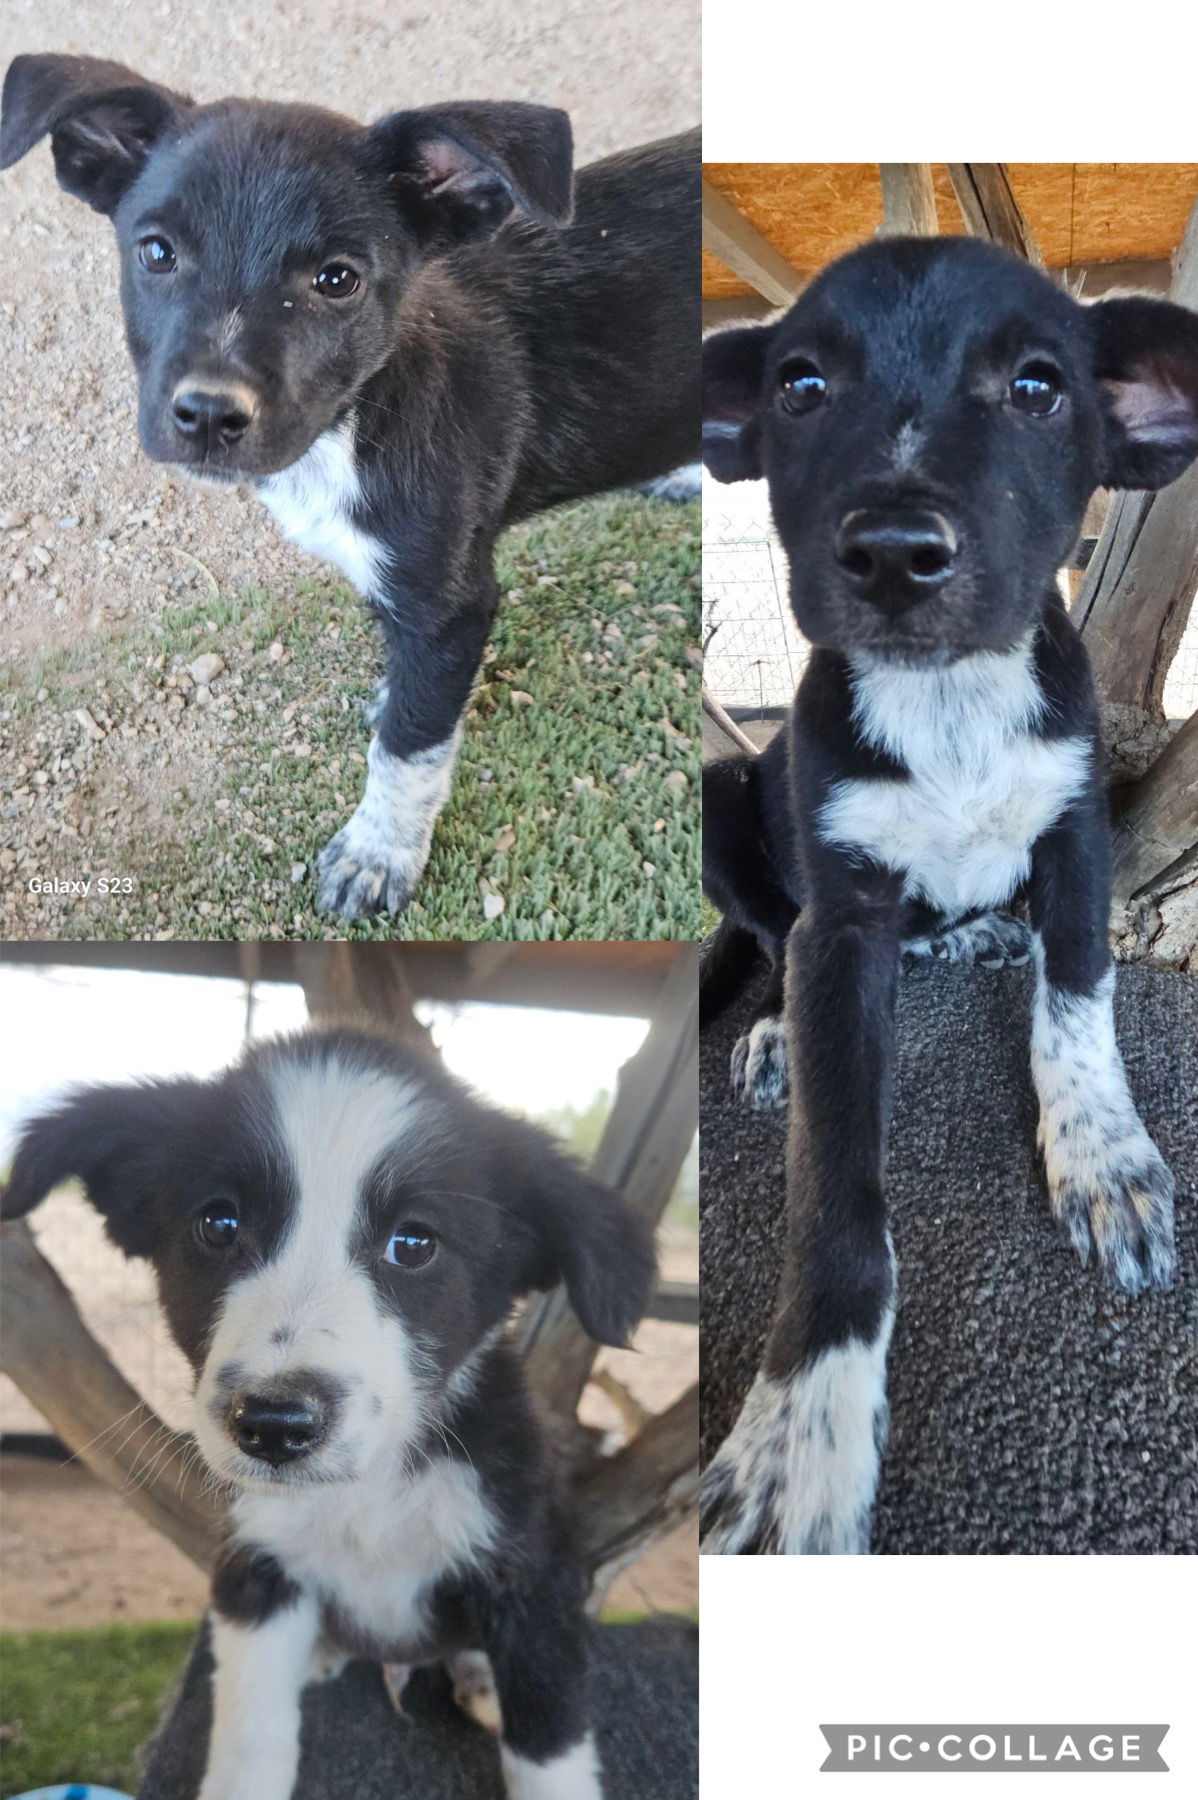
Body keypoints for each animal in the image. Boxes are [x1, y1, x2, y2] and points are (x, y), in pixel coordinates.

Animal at [0, 58, 701, 921]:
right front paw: (391, 699)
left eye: (338, 279)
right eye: (157, 253)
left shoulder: (449, 602)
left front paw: (378, 853)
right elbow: (404, 690)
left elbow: (409, 747)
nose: (208, 415)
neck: (355, 419)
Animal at [2, 1029, 654, 1800]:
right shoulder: (256, 1568)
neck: (370, 1492)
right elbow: (250, 1739)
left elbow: (550, 1742)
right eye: (218, 1223)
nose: (275, 1425)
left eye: (414, 1243)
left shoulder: (531, 1569)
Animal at [694, 239, 1194, 1555]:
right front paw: (797, 1437)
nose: (891, 551)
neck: (951, 702)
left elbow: (1079, 1000)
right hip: (723, 797)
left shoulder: (1076, 835)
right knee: (768, 935)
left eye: (1036, 387)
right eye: (799, 387)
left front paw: (1103, 1161)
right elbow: (832, 1193)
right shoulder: (843, 924)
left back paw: (977, 941)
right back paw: (773, 1033)